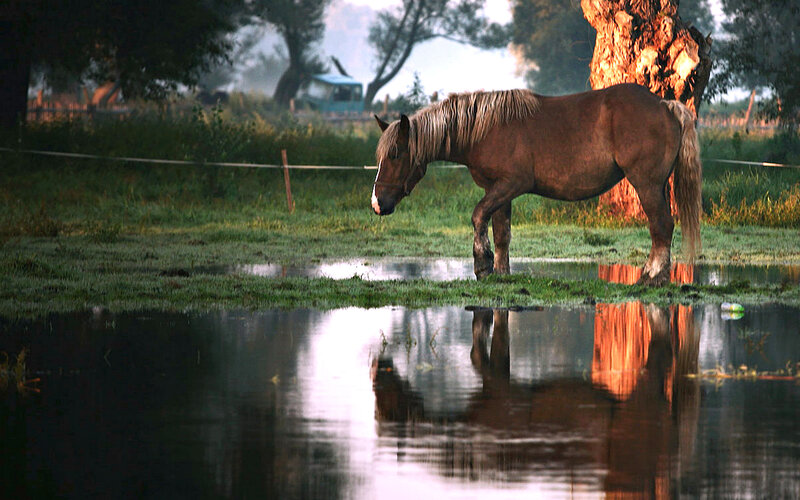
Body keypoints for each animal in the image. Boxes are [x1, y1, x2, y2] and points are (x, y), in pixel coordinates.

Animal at [370, 83, 702, 286]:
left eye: (395, 153)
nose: (377, 203)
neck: (487, 129)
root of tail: (664, 105)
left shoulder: (510, 184)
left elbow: (478, 217)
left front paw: (482, 266)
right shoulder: (499, 192)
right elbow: (502, 234)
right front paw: (501, 273)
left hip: (646, 184)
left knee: (661, 225)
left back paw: (652, 276)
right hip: (657, 185)